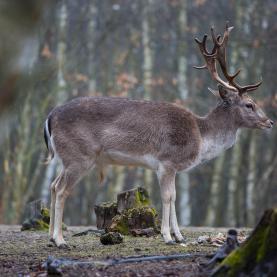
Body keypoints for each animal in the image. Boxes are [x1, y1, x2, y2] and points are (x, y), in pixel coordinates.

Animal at [43, 23, 272, 246]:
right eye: (249, 104)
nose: (270, 122)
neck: (201, 138)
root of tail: (50, 116)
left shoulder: (173, 168)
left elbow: (175, 196)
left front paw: (179, 237)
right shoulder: (166, 162)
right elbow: (168, 197)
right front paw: (167, 237)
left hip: (66, 158)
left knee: (53, 185)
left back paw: (51, 237)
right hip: (79, 156)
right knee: (62, 190)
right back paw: (61, 240)